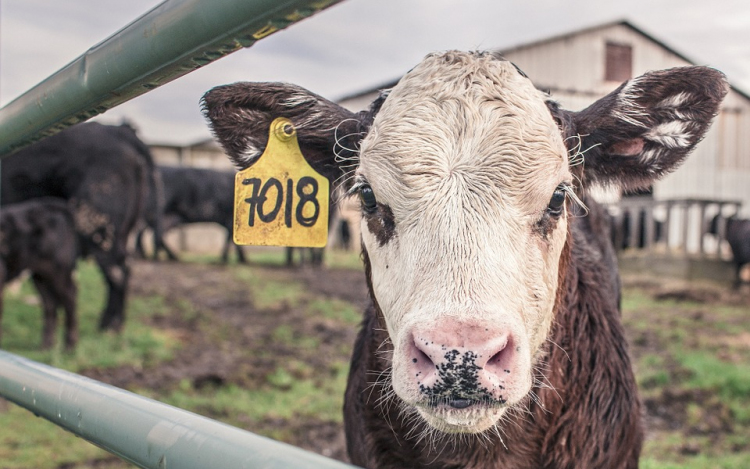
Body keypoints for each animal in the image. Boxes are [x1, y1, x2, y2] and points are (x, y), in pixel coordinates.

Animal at [0, 197, 78, 348]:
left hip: (59, 271)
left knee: (70, 297)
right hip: (40, 275)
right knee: (50, 303)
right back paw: (46, 345)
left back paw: (69, 346)